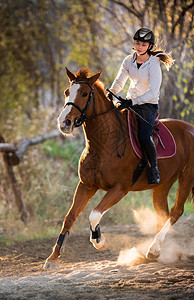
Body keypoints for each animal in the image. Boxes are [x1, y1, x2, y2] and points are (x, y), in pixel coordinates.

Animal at [44, 68, 194, 270]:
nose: (64, 123)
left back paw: (153, 249)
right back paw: (155, 251)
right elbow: (70, 217)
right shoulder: (86, 185)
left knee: (176, 211)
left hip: (186, 177)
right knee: (162, 213)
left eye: (85, 94)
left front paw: (99, 241)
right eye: (67, 92)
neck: (103, 143)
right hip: (163, 184)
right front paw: (53, 258)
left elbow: (94, 214)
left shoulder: (120, 189)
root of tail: (190, 129)